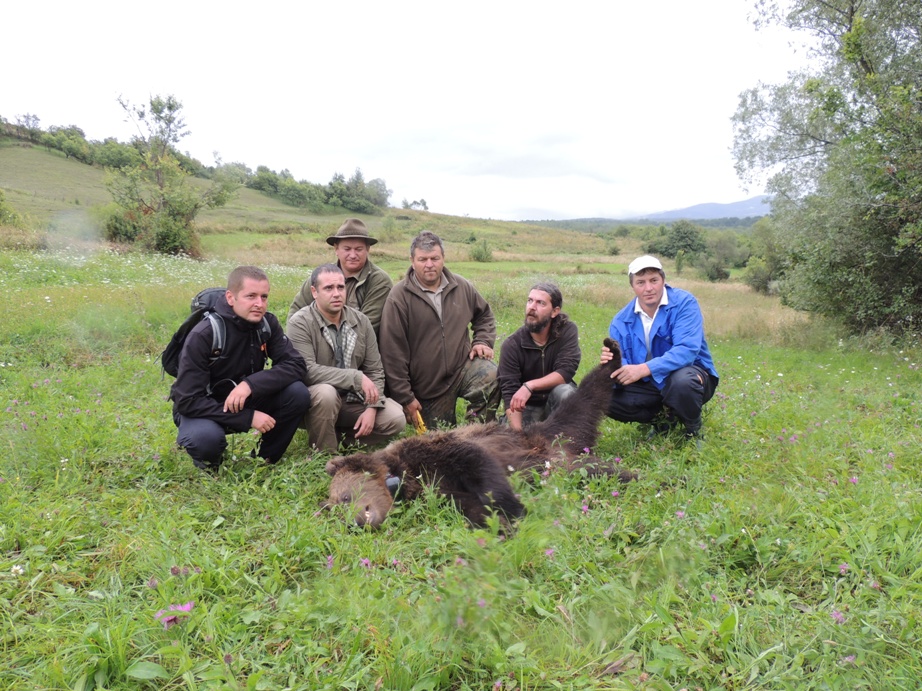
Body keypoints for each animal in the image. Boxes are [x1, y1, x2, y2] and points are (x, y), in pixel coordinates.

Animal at [324, 338, 632, 528]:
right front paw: (501, 524)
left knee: (590, 393)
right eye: (336, 509)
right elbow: (472, 507)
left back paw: (612, 352)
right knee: (598, 465)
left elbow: (480, 467)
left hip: (560, 428)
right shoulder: (440, 490)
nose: (357, 522)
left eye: (345, 498)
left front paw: (514, 508)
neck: (401, 474)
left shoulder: (440, 450)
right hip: (570, 460)